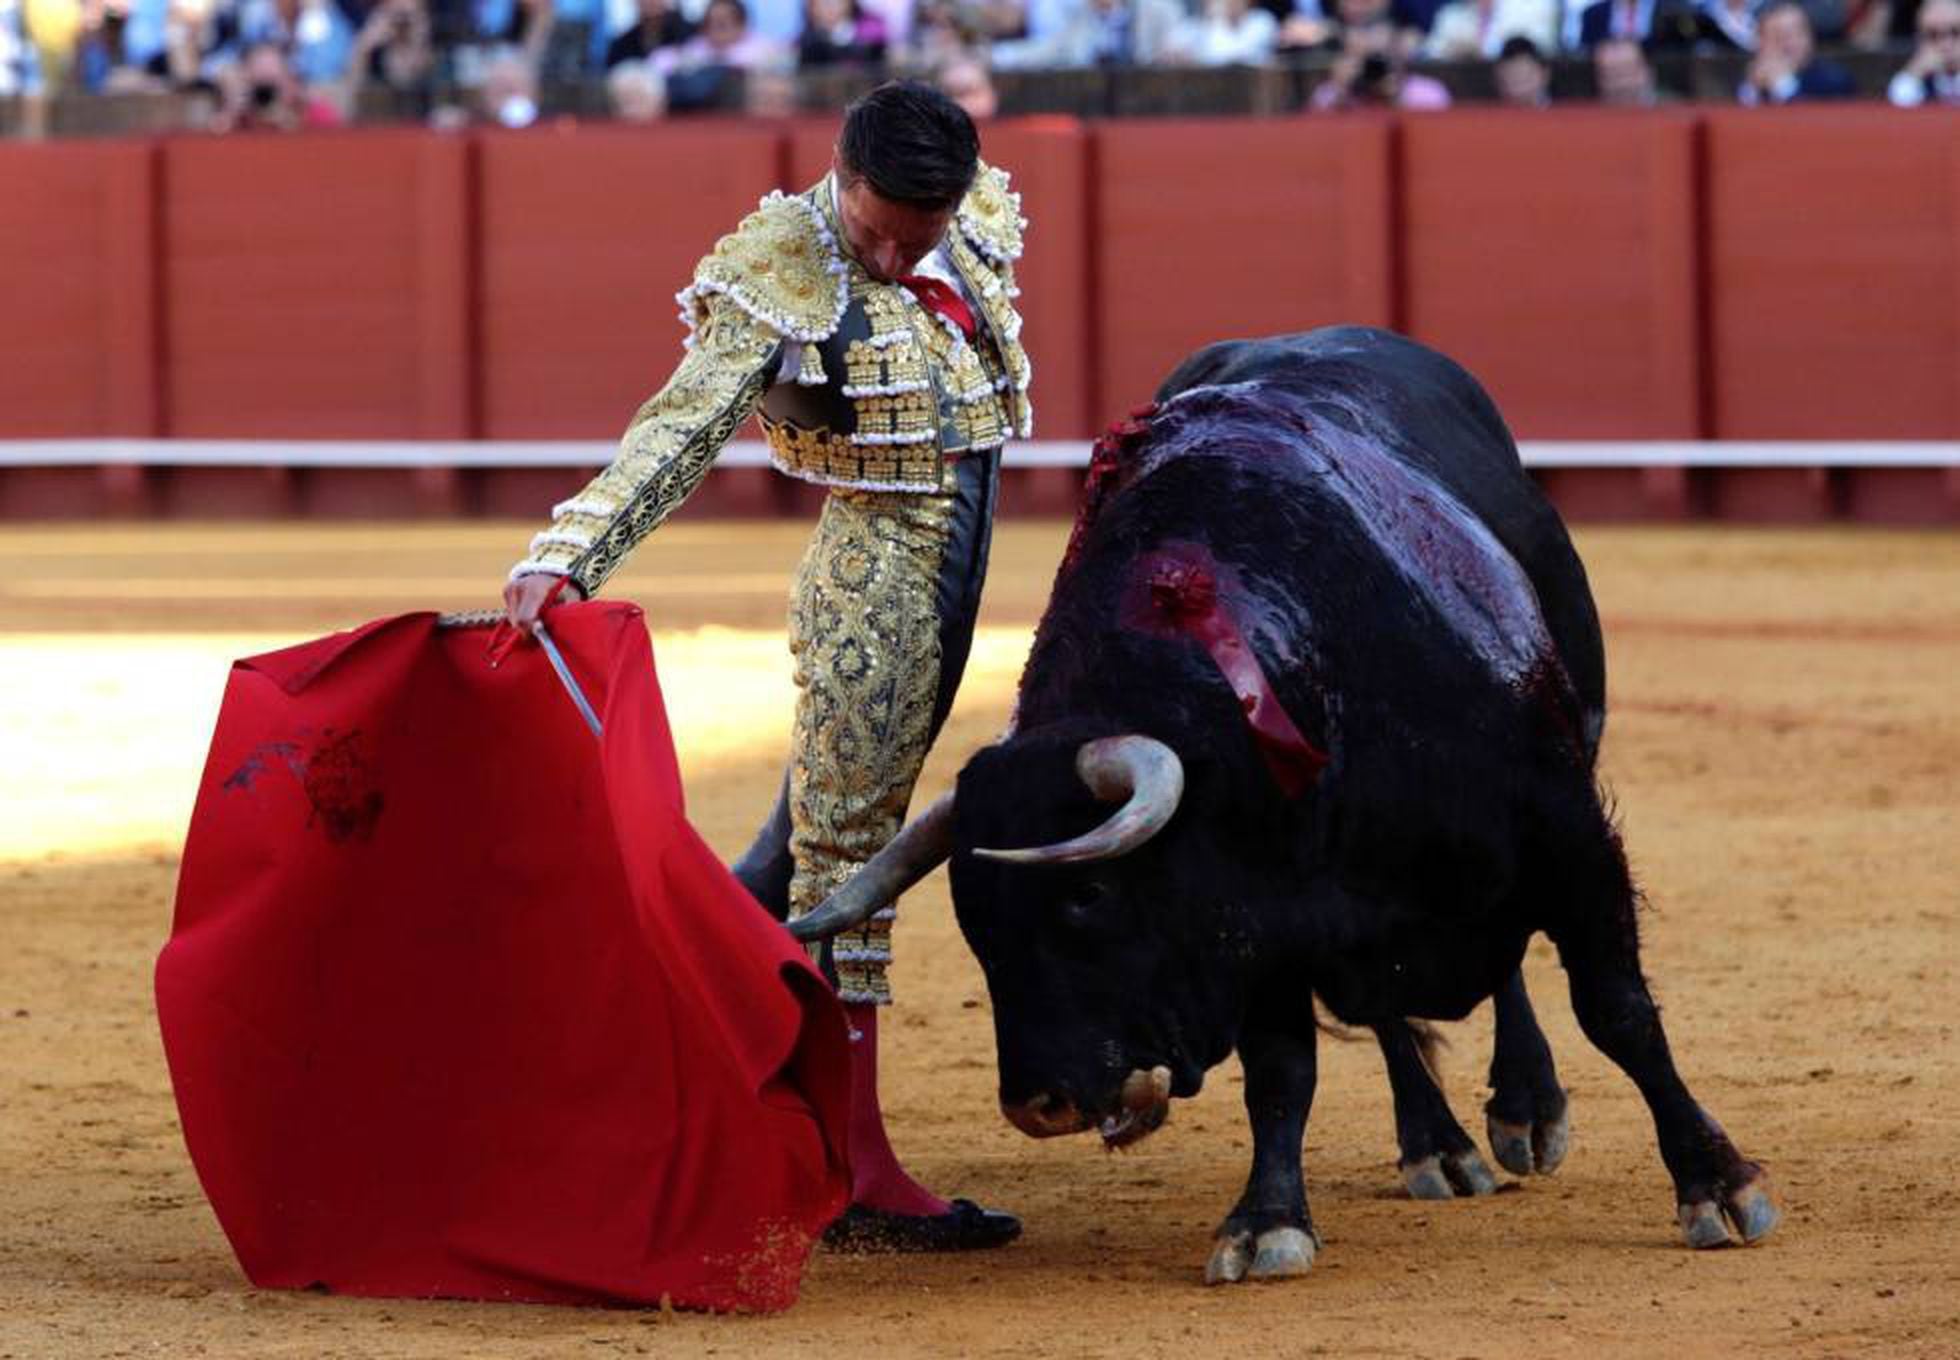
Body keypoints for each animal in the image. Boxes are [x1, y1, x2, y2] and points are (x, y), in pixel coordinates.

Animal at [787, 327, 1787, 1277]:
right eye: (973, 923)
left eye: (1088, 895)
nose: (1040, 1104)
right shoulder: (1262, 918)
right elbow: (1281, 1072)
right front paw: (1267, 1224)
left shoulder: (1569, 835)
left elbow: (1617, 1010)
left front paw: (1717, 1185)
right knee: (1388, 1015)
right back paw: (1438, 1144)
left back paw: (1525, 1108)